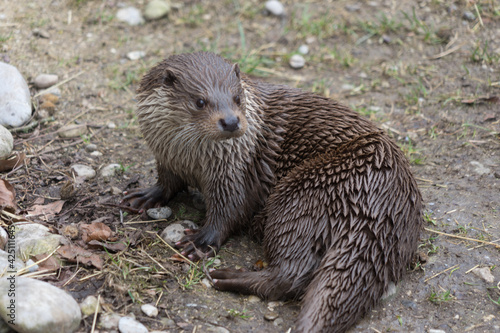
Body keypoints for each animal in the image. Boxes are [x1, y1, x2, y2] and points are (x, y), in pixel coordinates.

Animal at [122, 52, 422, 332]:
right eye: (199, 101)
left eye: (237, 98)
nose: (231, 121)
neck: (190, 158)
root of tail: (382, 205)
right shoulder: (167, 157)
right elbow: (168, 182)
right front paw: (146, 196)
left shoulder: (233, 172)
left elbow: (230, 210)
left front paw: (201, 240)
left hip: (303, 194)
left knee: (291, 274)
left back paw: (230, 277)